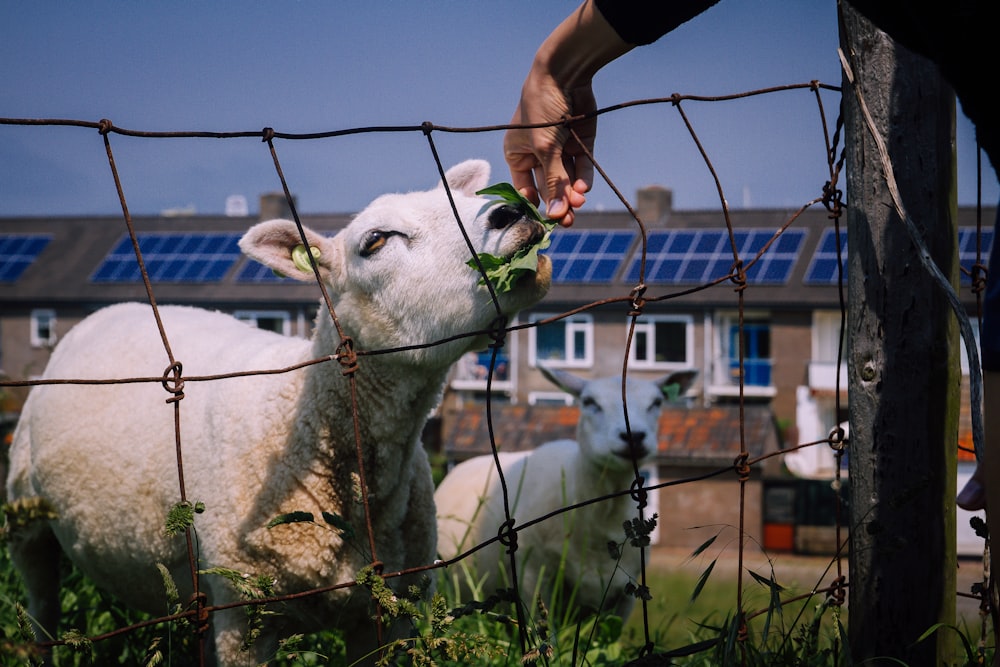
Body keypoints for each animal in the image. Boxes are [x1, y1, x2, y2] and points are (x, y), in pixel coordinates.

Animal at [3, 160, 552, 667]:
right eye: (375, 241)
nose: (512, 212)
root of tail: (115, 308)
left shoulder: (392, 612)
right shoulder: (245, 614)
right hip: (26, 515)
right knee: (42, 604)